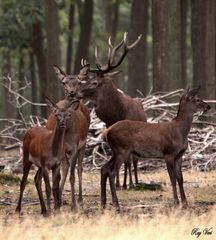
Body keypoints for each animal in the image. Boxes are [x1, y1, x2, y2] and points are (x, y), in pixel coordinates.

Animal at [46, 65, 90, 210]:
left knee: (79, 169)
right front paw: (57, 202)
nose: (72, 93)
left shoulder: (74, 146)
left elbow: (72, 175)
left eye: (79, 82)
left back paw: (80, 200)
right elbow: (59, 173)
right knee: (65, 168)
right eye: (63, 82)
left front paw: (73, 205)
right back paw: (59, 198)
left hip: (84, 143)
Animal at [76, 32, 147, 189]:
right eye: (86, 80)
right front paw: (118, 183)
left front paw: (126, 184)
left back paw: (135, 181)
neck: (116, 116)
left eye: (94, 82)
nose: (75, 92)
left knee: (134, 160)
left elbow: (127, 161)